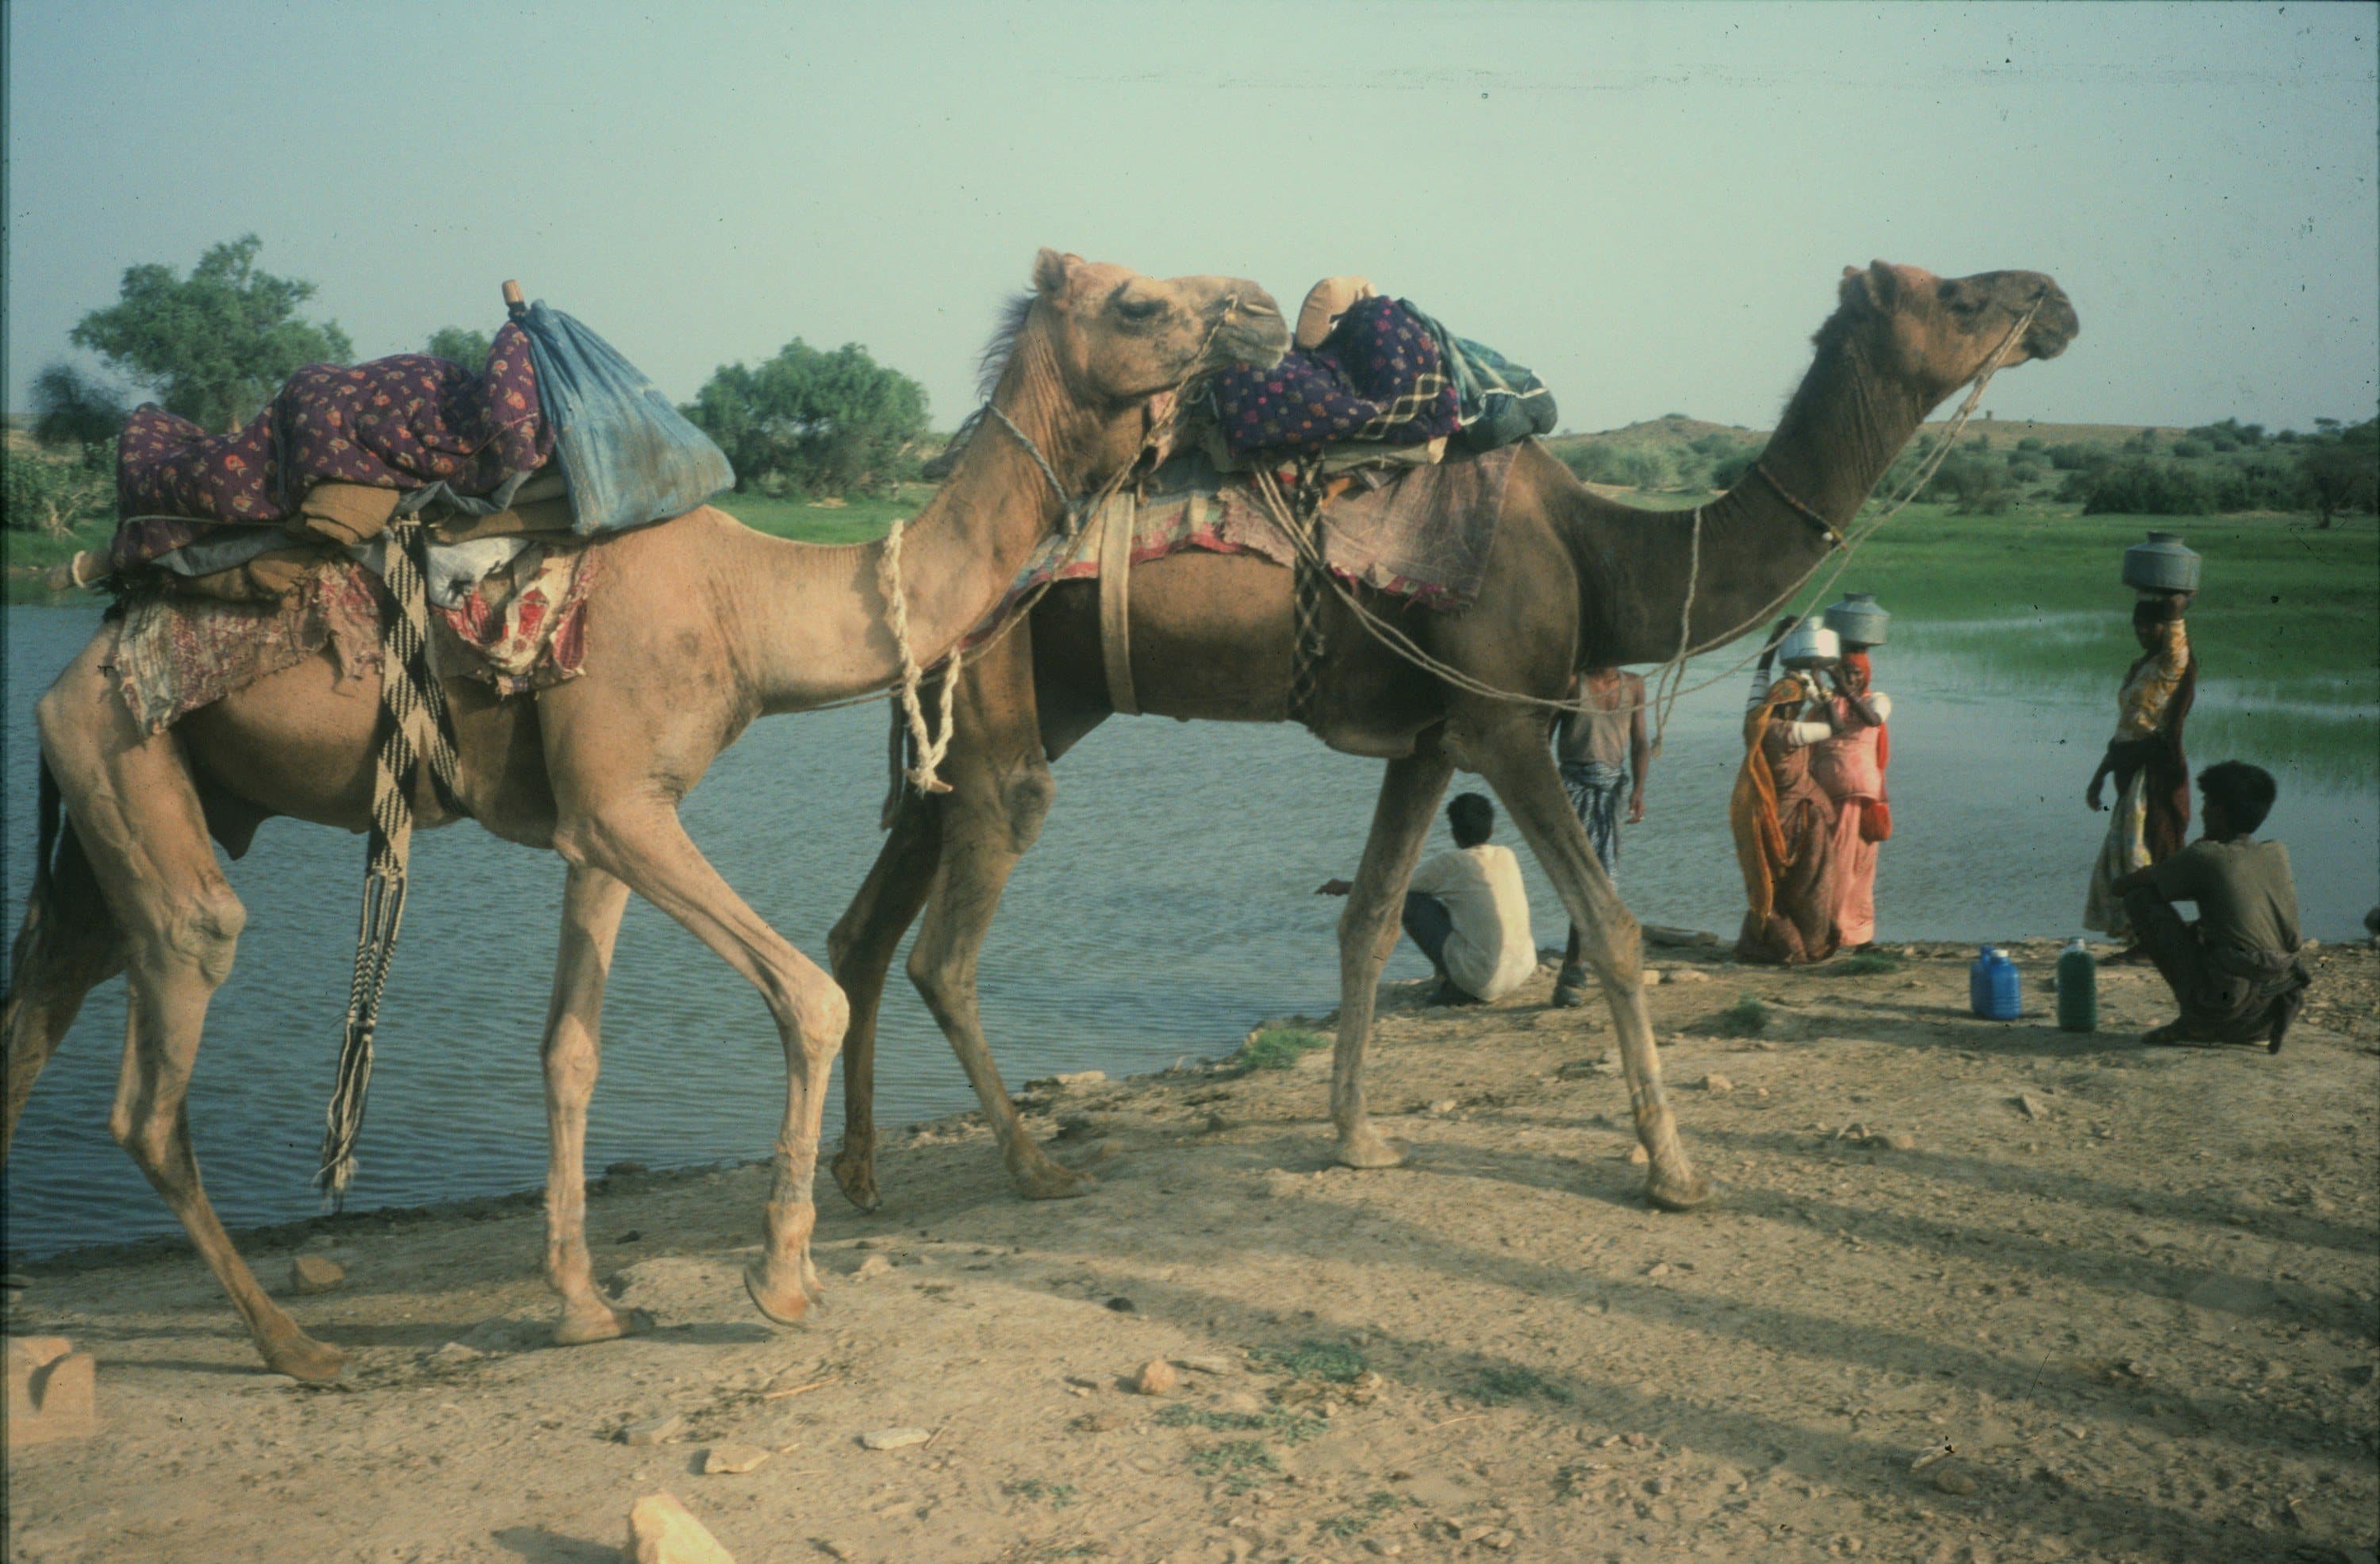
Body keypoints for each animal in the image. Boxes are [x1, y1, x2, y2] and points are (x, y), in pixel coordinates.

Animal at [0, 250, 1288, 1379]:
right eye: (1136, 300)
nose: (1267, 310)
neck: (750, 603)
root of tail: (77, 660)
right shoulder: (625, 807)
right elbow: (810, 997)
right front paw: (783, 1278)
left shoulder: (602, 820)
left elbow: (570, 1050)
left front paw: (580, 1303)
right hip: (126, 759)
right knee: (159, 1062)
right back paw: (297, 1348)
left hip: (132, 816)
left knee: (36, 1011)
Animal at [822, 261, 2079, 1212]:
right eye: (1960, 296)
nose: (2054, 299)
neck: (1602, 552)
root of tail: (917, 531)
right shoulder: (1504, 720)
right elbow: (1615, 931)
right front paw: (1676, 1172)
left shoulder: (1429, 739)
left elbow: (1371, 922)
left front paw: (1357, 1139)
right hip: (1003, 708)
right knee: (943, 948)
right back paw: (1035, 1168)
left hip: (984, 726)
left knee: (862, 932)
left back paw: (863, 1174)